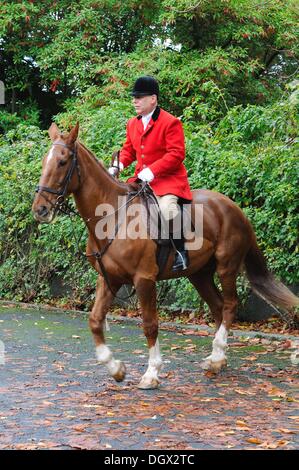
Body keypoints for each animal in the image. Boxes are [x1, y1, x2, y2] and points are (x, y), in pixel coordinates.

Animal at [31, 122, 298, 390]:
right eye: (44, 161)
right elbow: (95, 321)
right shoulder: (108, 279)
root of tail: (233, 206)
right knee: (218, 307)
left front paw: (151, 373)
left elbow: (150, 325)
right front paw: (116, 368)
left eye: (62, 162)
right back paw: (217, 357)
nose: (40, 209)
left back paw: (216, 357)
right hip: (199, 275)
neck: (113, 216)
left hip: (227, 267)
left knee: (231, 305)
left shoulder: (144, 280)